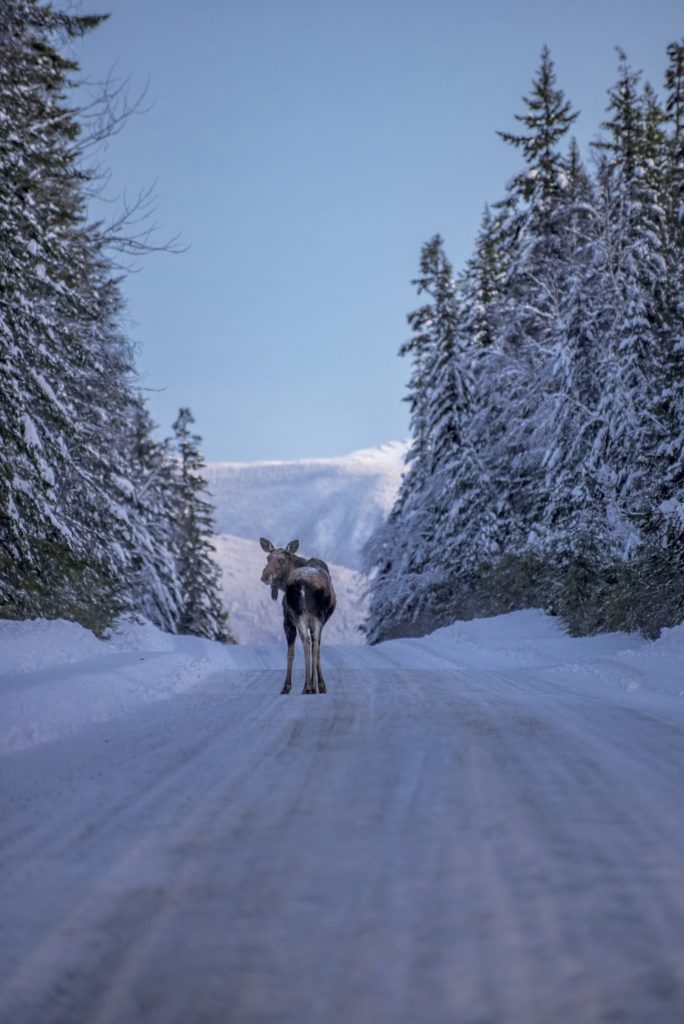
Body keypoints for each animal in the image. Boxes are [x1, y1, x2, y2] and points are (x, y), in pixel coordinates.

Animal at [259, 536, 335, 696]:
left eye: (281, 560)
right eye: (268, 557)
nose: (265, 576)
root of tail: (303, 584)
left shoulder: (287, 621)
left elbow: (290, 653)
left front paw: (287, 686)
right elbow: (315, 650)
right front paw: (320, 685)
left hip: (300, 616)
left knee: (307, 643)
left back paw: (308, 686)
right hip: (313, 617)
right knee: (312, 645)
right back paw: (310, 686)